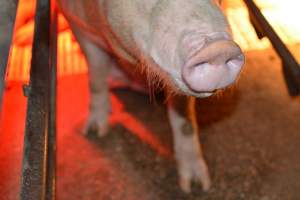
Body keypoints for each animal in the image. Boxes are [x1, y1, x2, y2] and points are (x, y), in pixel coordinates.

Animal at [58, 0, 244, 194]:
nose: (219, 49)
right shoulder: (76, 23)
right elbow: (96, 77)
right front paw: (94, 132)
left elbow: (184, 120)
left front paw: (195, 187)